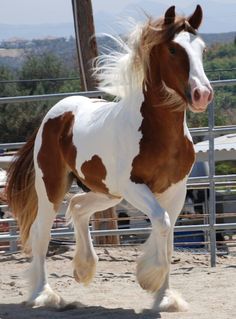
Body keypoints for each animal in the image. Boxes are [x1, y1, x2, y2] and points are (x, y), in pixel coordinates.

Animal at [5, 5, 212, 314]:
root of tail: (54, 114)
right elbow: (161, 223)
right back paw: (44, 294)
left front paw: (164, 298)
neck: (158, 133)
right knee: (41, 233)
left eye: (202, 48)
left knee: (78, 207)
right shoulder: (134, 186)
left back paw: (83, 268)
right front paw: (150, 278)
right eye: (174, 49)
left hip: (106, 193)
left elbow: (168, 235)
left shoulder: (175, 191)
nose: (203, 94)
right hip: (53, 187)